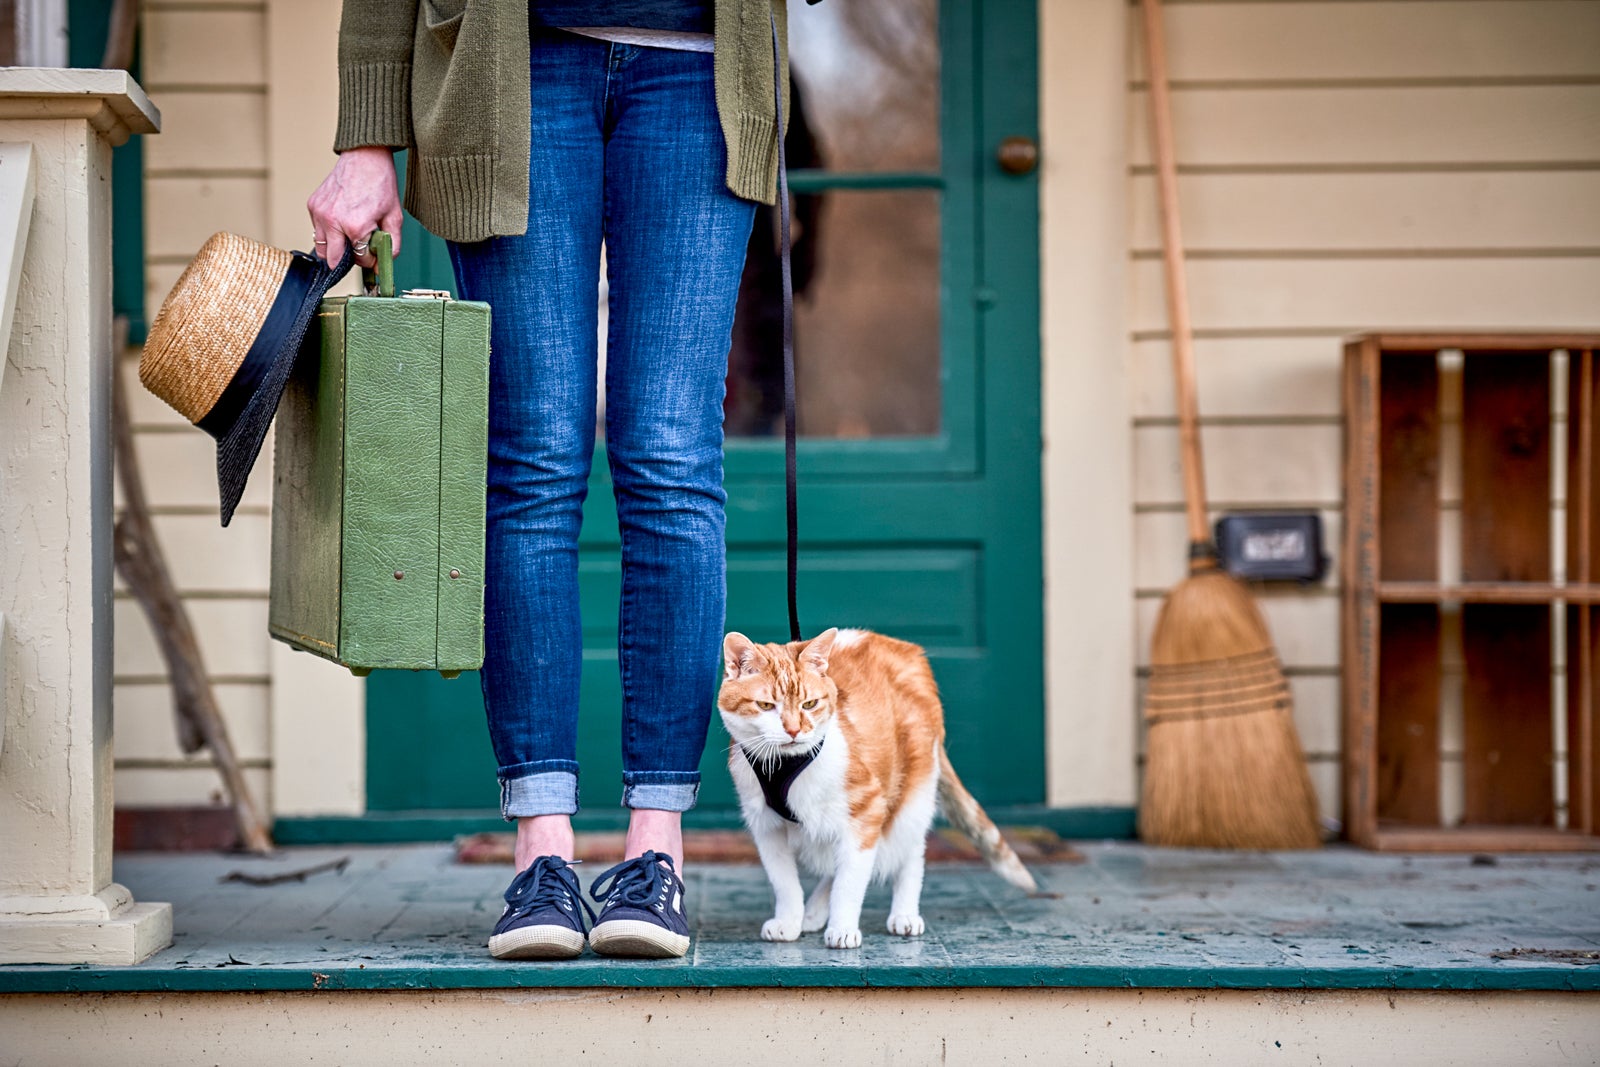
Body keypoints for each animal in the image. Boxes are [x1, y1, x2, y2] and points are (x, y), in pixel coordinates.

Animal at [716, 627, 1036, 953]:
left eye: (810, 704)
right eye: (766, 706)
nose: (794, 731)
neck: (785, 764)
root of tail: (904, 648)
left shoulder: (866, 808)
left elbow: (850, 881)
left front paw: (843, 927)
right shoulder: (766, 826)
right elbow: (785, 882)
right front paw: (789, 921)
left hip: (913, 793)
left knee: (910, 851)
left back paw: (904, 913)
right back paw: (815, 912)